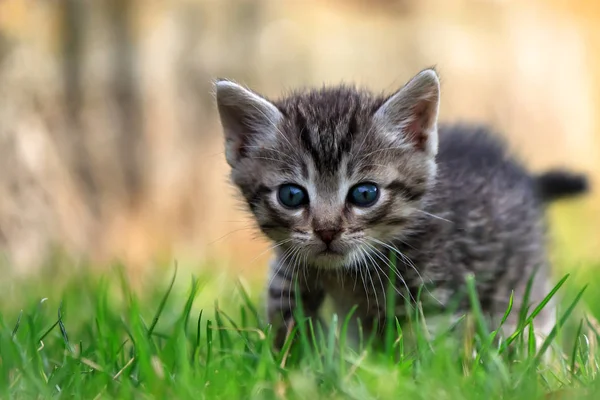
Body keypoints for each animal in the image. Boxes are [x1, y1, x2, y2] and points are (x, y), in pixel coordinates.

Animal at [214, 70, 584, 348]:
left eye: (365, 193)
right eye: (292, 195)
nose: (327, 231)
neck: (344, 275)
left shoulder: (433, 297)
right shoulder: (288, 278)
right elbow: (289, 334)